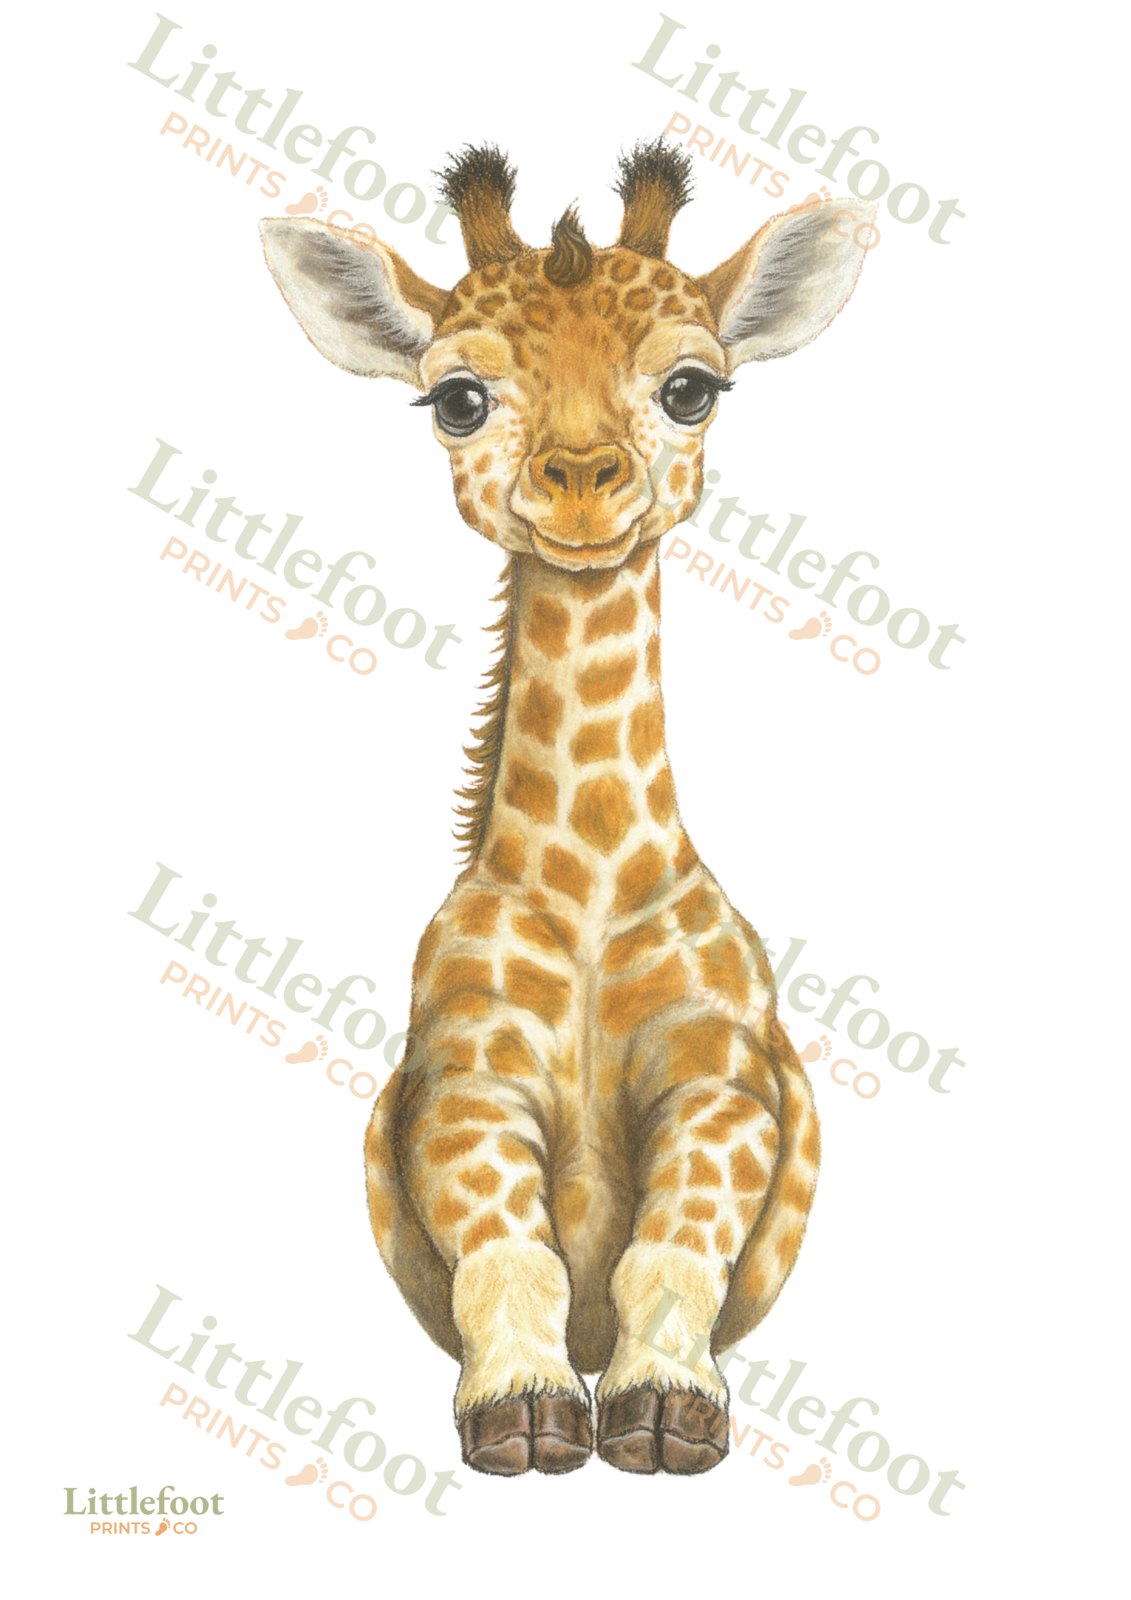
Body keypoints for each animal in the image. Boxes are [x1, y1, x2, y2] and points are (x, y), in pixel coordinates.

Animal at [260, 142, 874, 1477]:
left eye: (692, 388)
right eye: (457, 400)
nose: (585, 486)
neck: (591, 890)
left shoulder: (722, 1077)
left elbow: (673, 1242)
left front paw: (665, 1407)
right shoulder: (465, 1078)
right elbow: (512, 1249)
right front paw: (525, 1409)